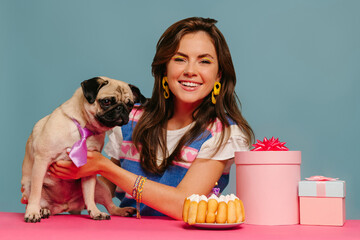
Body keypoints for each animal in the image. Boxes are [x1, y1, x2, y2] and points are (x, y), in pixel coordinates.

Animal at [20, 76, 145, 222]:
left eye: (130, 104)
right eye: (107, 101)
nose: (121, 108)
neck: (84, 125)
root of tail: (65, 206)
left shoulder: (90, 170)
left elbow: (89, 194)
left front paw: (95, 212)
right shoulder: (42, 161)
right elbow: (36, 193)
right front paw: (33, 212)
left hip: (100, 188)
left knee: (110, 206)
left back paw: (119, 211)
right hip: (28, 185)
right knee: (39, 198)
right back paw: (42, 210)